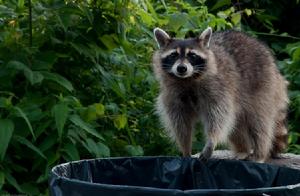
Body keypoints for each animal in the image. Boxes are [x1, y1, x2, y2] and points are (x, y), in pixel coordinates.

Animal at [152, 27, 288, 162]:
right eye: (173, 55)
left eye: (192, 55)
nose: (181, 68)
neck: (187, 79)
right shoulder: (172, 95)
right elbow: (180, 123)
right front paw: (185, 147)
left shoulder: (218, 89)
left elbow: (218, 117)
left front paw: (211, 141)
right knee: (236, 125)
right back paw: (243, 150)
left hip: (263, 85)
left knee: (259, 122)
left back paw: (260, 154)